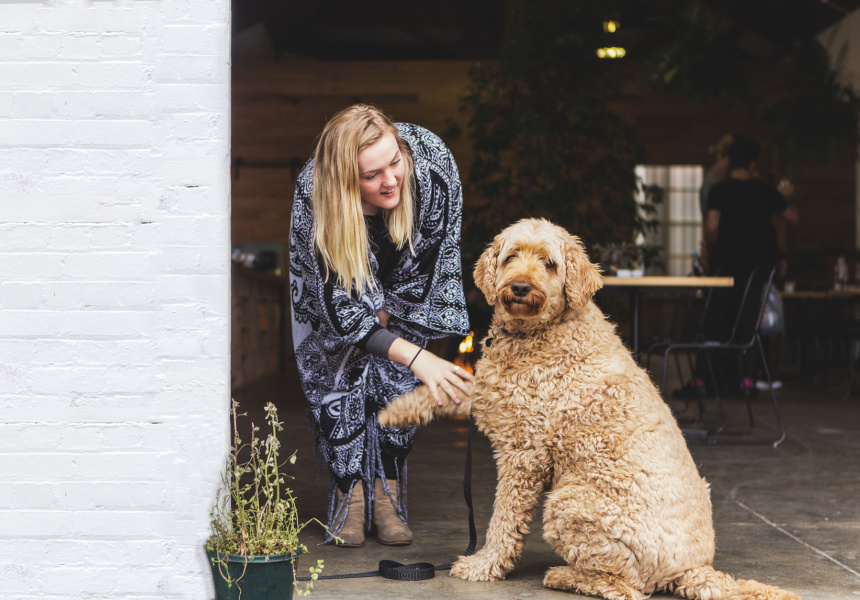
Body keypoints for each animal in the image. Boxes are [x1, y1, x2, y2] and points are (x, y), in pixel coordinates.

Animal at [379, 218, 799, 600]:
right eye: (511, 256)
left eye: (548, 263)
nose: (520, 287)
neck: (540, 332)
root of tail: (692, 569)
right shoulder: (494, 392)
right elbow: (453, 389)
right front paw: (393, 412)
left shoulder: (524, 454)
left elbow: (505, 518)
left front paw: (485, 564)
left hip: (568, 503)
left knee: (628, 588)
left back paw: (563, 575)